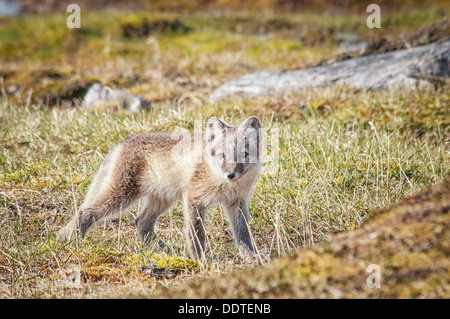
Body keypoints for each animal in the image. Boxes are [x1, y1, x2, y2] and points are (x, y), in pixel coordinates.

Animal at [58, 117, 266, 262]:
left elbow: (243, 234)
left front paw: (251, 257)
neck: (223, 183)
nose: (231, 175)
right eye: (221, 155)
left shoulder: (237, 203)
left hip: (162, 199)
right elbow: (196, 234)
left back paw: (163, 249)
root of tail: (122, 144)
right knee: (85, 211)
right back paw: (70, 239)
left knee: (141, 222)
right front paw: (200, 259)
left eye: (244, 154)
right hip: (122, 196)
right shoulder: (193, 199)